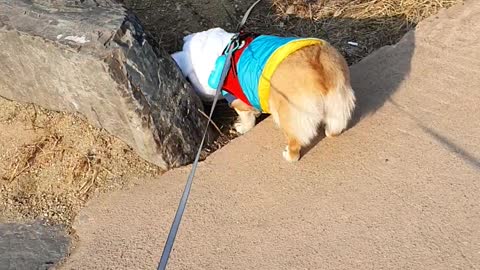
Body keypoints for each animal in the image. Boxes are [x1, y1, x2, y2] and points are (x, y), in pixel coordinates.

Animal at [172, 28, 356, 161]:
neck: (225, 51)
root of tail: (319, 69)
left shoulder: (238, 101)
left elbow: (247, 119)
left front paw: (242, 127)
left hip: (290, 116)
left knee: (295, 143)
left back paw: (288, 155)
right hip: (338, 103)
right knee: (335, 127)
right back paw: (330, 132)